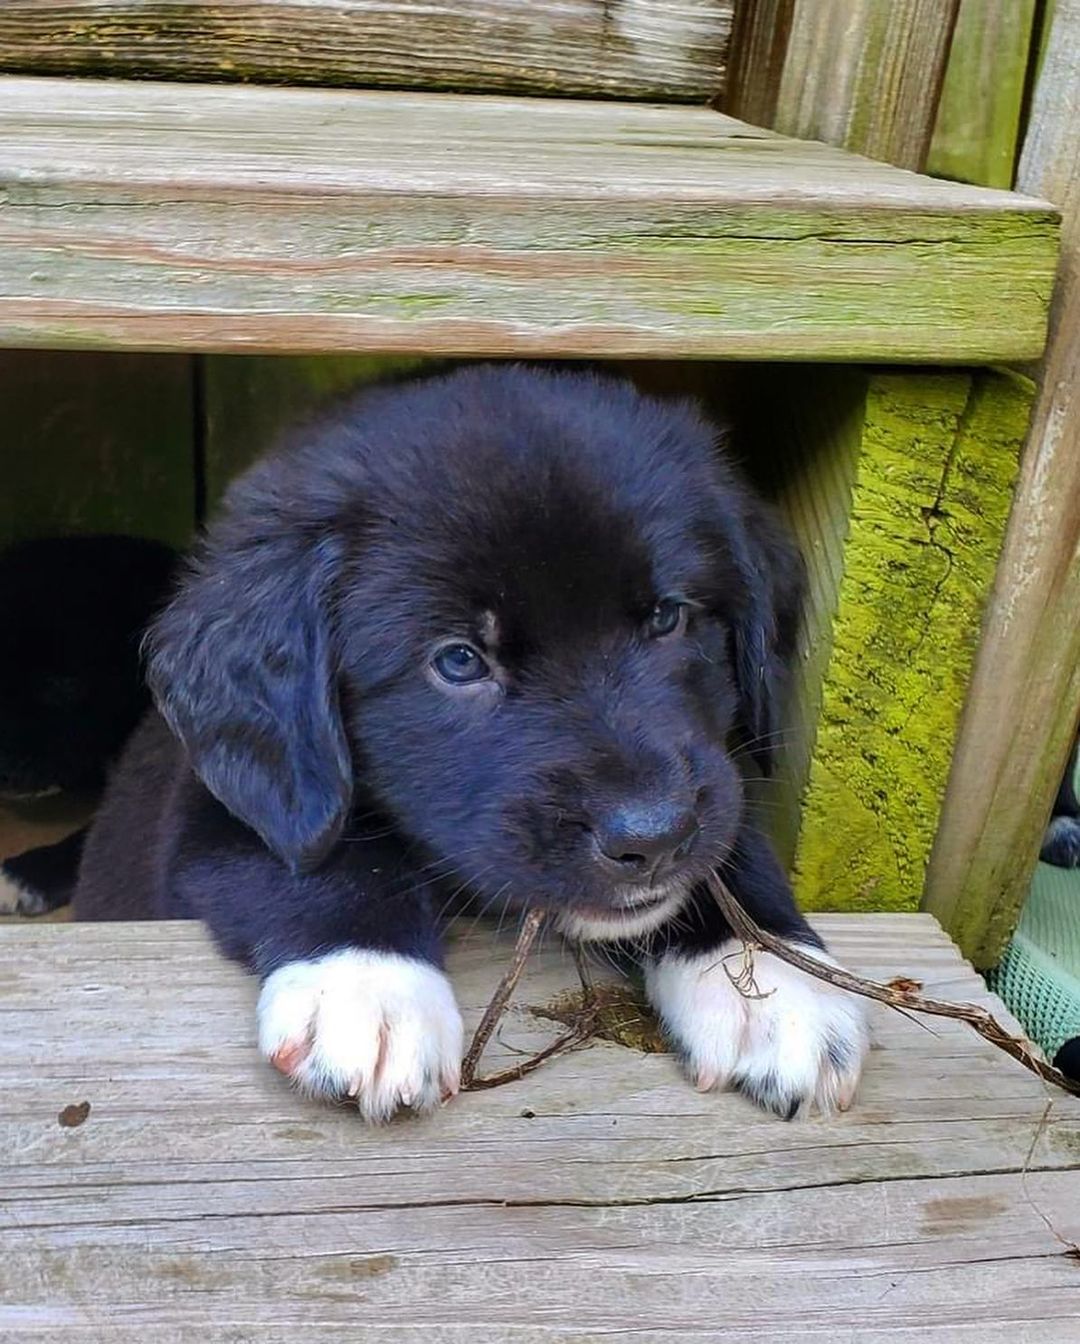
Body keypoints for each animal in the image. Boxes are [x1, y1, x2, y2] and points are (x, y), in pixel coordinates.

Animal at [73, 365, 870, 1123]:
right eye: (458, 661)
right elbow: (326, 856)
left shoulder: (711, 778)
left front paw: (775, 979)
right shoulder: (218, 803)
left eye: (668, 617)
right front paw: (372, 986)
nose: (652, 839)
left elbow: (733, 840)